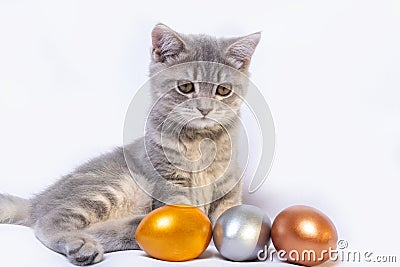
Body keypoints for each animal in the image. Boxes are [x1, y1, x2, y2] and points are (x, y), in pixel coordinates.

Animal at [0, 23, 260, 266]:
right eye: (186, 87)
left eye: (223, 90)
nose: (205, 109)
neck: (200, 143)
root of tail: (37, 201)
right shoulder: (168, 182)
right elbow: (184, 213)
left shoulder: (229, 188)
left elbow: (227, 213)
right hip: (113, 186)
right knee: (48, 221)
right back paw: (83, 243)